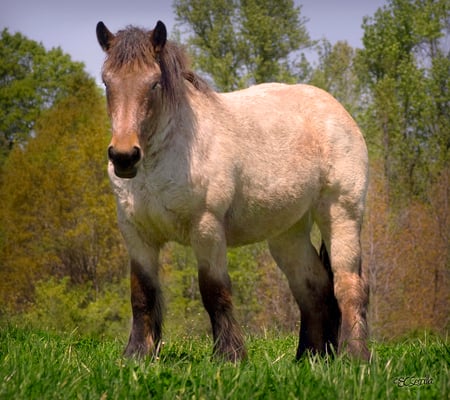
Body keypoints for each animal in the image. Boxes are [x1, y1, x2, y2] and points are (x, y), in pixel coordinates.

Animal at [96, 19, 370, 362]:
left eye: (154, 84)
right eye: (107, 83)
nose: (124, 157)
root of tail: (338, 111)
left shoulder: (207, 228)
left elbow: (214, 291)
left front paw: (229, 355)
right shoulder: (137, 234)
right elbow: (142, 294)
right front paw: (137, 355)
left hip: (342, 215)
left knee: (348, 286)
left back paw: (356, 356)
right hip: (288, 234)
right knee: (314, 289)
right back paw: (309, 357)